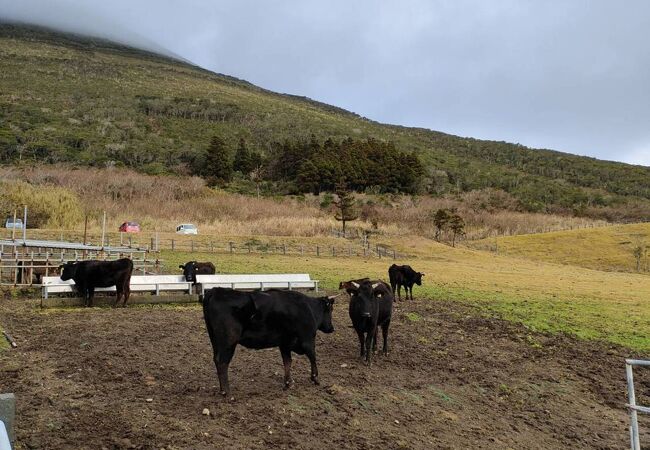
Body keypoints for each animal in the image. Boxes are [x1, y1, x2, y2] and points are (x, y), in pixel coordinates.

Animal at [201, 286, 334, 396]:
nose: (332, 328)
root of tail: (217, 290)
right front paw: (315, 379)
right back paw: (227, 392)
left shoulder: (284, 344)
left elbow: (287, 362)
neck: (308, 308)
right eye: (329, 310)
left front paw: (288, 383)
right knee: (222, 362)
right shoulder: (307, 340)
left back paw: (222, 390)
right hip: (228, 342)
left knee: (217, 360)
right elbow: (313, 357)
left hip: (215, 341)